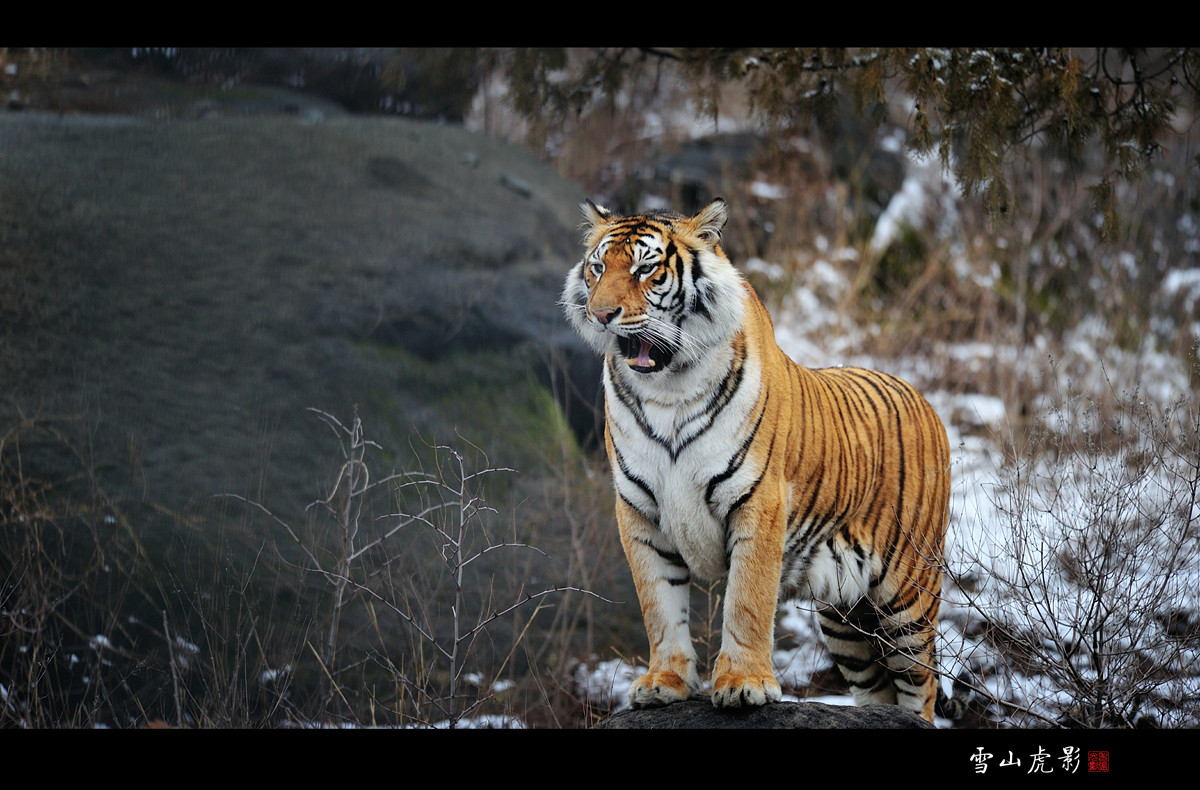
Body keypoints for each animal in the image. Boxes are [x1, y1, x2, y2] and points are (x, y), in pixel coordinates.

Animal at [561, 195, 955, 720]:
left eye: (646, 269)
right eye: (598, 267)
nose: (602, 313)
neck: (667, 390)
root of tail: (923, 397)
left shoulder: (758, 503)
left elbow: (746, 600)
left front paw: (743, 685)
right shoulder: (639, 513)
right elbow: (659, 606)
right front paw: (664, 683)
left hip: (908, 595)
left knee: (921, 687)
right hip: (846, 621)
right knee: (877, 692)